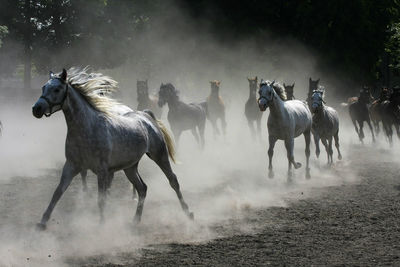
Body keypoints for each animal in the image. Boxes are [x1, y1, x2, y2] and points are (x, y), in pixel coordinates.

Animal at [31, 68, 194, 229]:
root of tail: (145, 116)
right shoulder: (71, 166)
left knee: (173, 180)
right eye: (44, 87)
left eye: (57, 89)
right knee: (142, 188)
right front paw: (43, 222)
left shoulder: (102, 171)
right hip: (130, 167)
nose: (36, 109)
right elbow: (58, 192)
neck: (87, 127)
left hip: (159, 155)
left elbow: (101, 199)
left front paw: (102, 224)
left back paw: (188, 213)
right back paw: (135, 220)